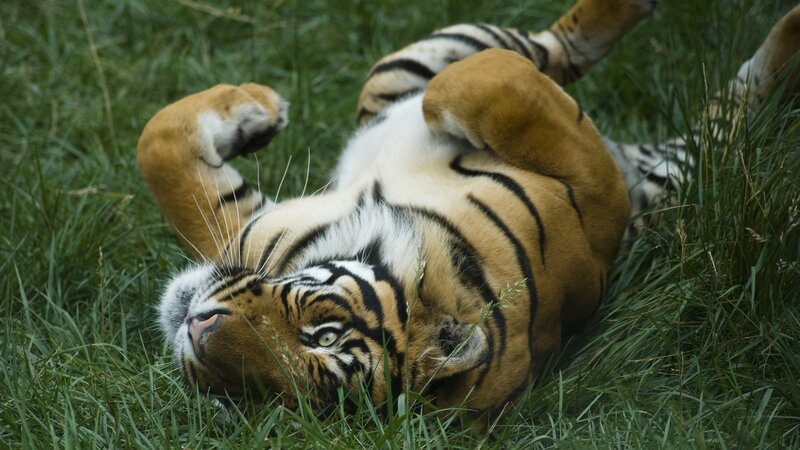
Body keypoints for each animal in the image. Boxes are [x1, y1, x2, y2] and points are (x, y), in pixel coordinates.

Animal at [137, 0, 800, 424]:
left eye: (322, 337)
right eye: (243, 396)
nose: (195, 331)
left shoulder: (594, 195)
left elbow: (477, 86)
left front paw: (263, 111)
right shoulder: (251, 231)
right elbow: (159, 141)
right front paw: (261, 111)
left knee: (537, 56)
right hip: (410, 65)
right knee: (558, 52)